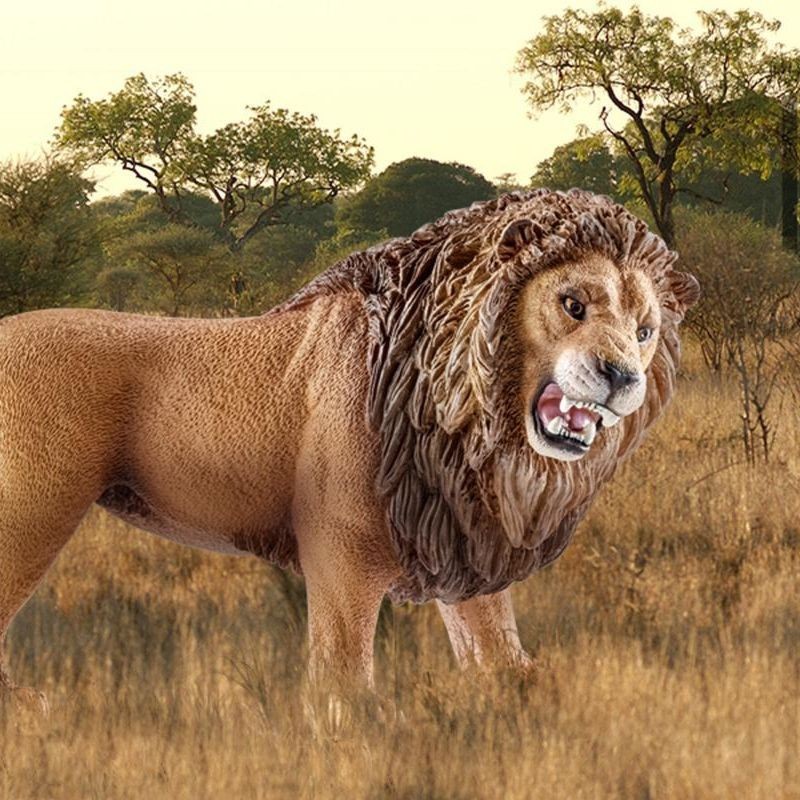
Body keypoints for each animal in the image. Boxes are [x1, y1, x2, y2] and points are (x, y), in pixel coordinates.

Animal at [0, 189, 699, 705]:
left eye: (644, 330)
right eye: (573, 304)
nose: (622, 377)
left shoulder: (460, 542)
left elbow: (497, 652)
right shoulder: (340, 554)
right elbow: (342, 681)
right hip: (31, 513)